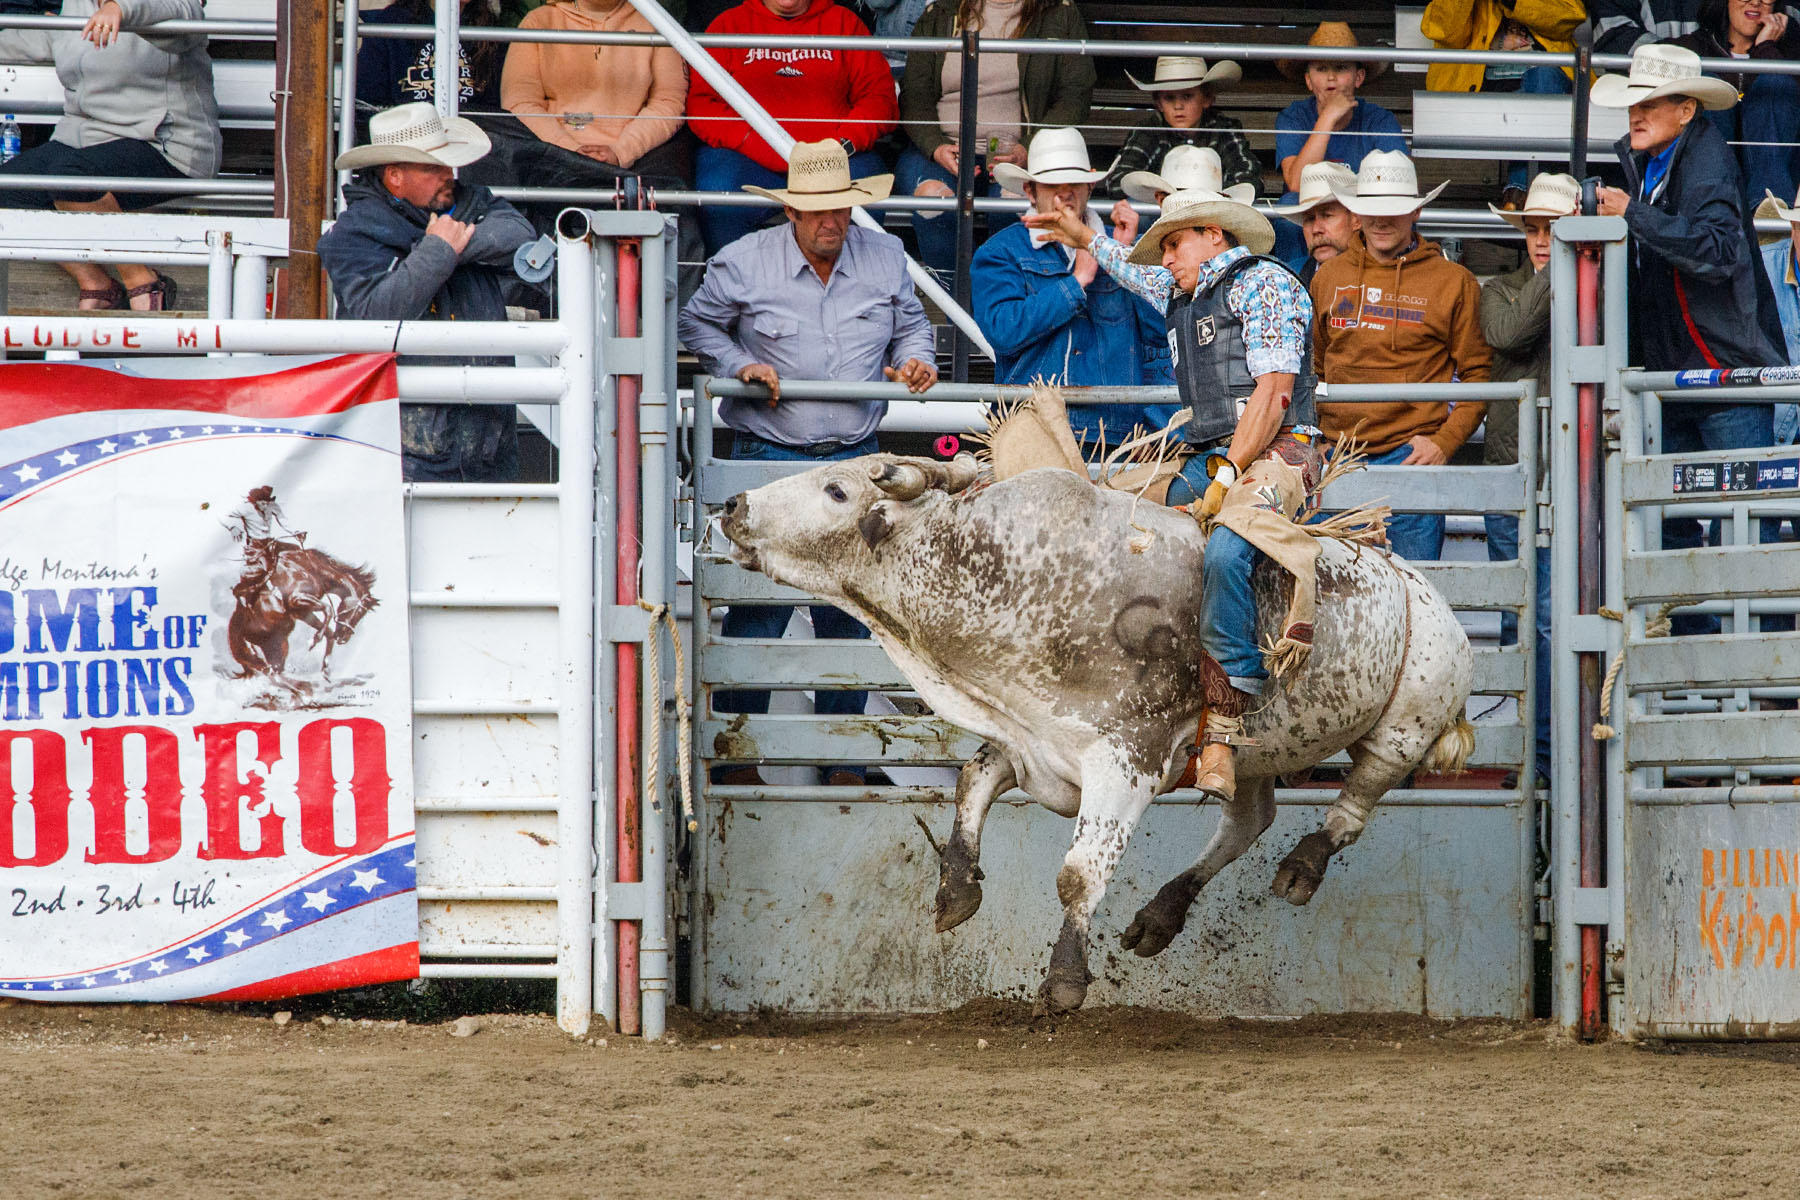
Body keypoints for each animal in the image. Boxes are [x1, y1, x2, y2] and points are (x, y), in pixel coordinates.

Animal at [717, 454, 1475, 1014]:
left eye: (836, 489)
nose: (733, 506)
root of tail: (1429, 596)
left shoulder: (1127, 759)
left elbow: (1078, 874)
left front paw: (1063, 981)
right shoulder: (1031, 741)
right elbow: (971, 783)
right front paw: (956, 891)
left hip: (1407, 724)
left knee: (1352, 807)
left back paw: (1301, 868)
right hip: (1253, 753)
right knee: (1246, 820)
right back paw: (1161, 916)